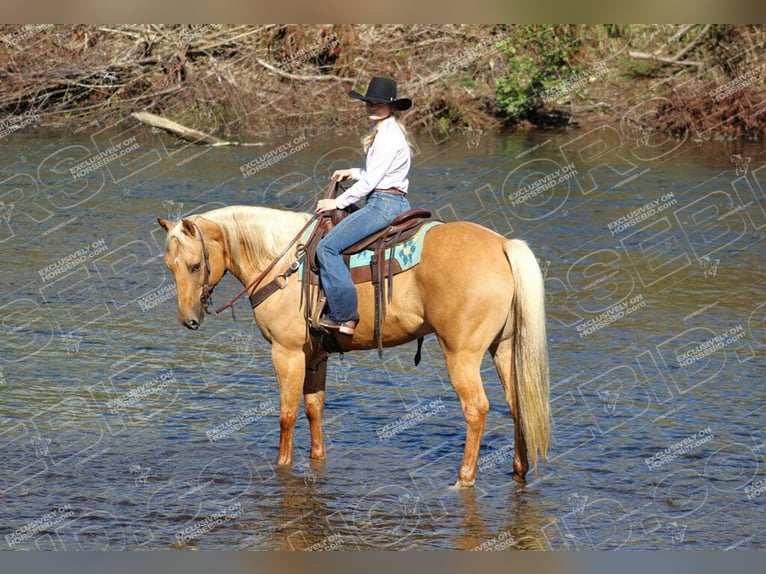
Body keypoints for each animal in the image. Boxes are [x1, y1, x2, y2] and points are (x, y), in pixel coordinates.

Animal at [159, 205, 548, 488]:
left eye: (195, 265)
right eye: (169, 266)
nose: (189, 320)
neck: (283, 263)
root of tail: (501, 245)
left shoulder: (286, 352)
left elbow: (287, 414)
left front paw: (282, 465)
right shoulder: (315, 355)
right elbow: (314, 408)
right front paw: (317, 458)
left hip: (461, 355)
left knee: (476, 409)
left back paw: (463, 478)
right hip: (503, 348)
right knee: (517, 403)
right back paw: (519, 469)